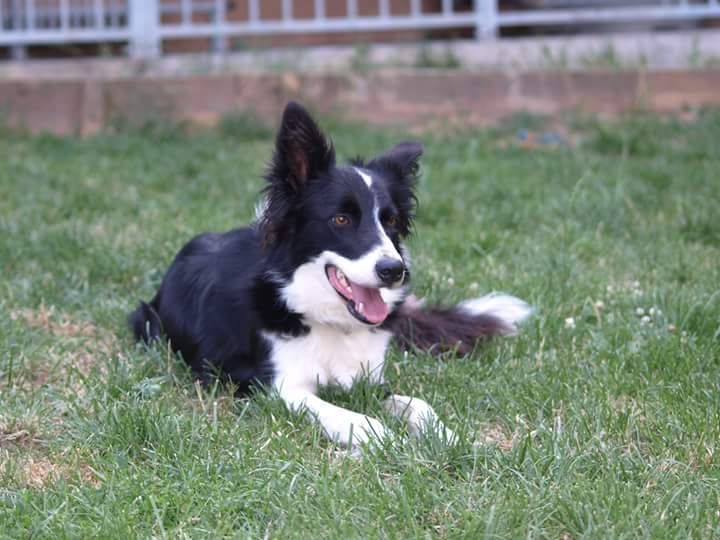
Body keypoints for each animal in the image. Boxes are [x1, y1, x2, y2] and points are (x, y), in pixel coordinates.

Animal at [129, 103, 532, 450]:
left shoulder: (370, 379)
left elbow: (419, 404)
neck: (324, 318)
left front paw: (449, 438)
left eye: (390, 221)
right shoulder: (273, 386)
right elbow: (346, 414)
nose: (394, 271)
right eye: (341, 219)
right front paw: (384, 439)